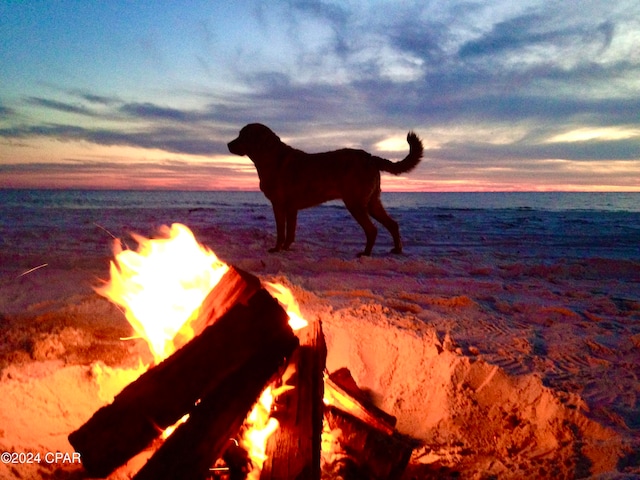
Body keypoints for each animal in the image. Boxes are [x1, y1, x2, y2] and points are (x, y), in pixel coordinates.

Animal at [228, 125, 422, 256]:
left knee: (372, 229)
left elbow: (281, 231)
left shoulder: (279, 205)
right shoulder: (291, 208)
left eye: (243, 135)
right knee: (392, 224)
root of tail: (370, 157)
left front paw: (276, 249)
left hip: (355, 203)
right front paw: (286, 248)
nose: (228, 144)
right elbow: (290, 232)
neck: (270, 157)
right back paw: (397, 249)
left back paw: (365, 253)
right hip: (372, 202)